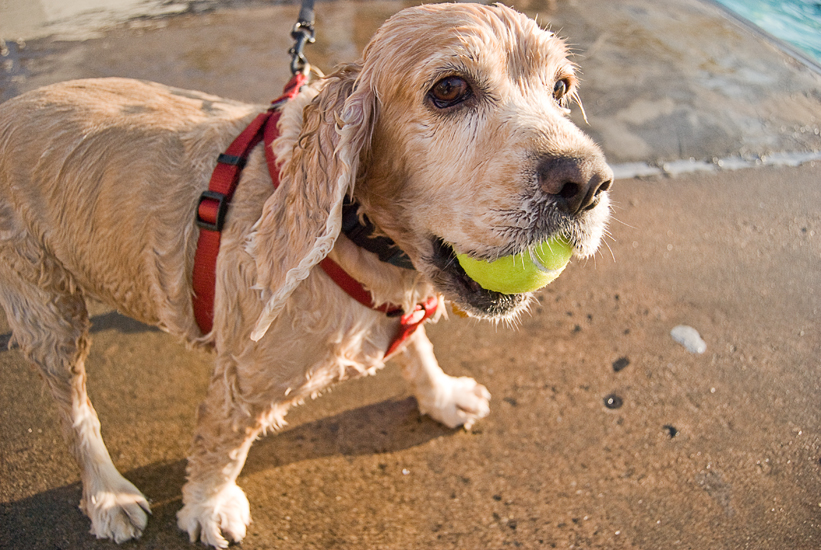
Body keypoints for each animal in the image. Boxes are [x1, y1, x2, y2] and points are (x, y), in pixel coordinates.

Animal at [0, 3, 612, 548]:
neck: (355, 236)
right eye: (450, 89)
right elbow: (222, 443)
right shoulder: (242, 378)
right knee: (75, 408)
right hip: (45, 302)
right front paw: (208, 505)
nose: (586, 182)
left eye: (561, 87)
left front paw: (442, 394)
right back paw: (108, 495)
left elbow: (418, 347)